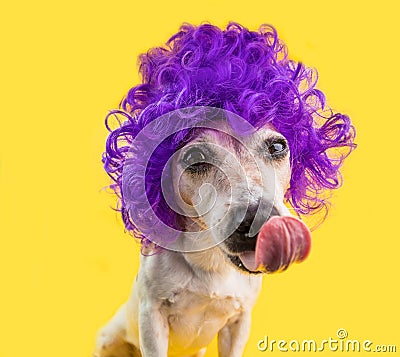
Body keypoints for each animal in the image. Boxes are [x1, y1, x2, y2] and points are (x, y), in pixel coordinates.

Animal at [94, 22, 356, 356]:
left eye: (277, 146)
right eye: (194, 158)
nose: (260, 222)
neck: (211, 264)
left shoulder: (239, 321)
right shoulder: (151, 319)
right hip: (109, 337)